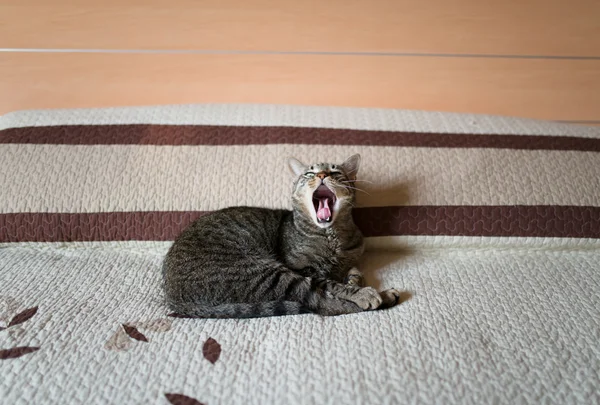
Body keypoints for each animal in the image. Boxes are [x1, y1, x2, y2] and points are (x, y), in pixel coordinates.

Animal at [162, 153, 400, 318]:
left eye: (335, 172)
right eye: (309, 173)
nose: (322, 175)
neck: (331, 237)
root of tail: (172, 297)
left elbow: (350, 272)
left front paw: (354, 278)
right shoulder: (305, 269)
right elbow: (332, 285)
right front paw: (359, 291)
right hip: (267, 273)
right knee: (321, 304)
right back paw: (383, 296)